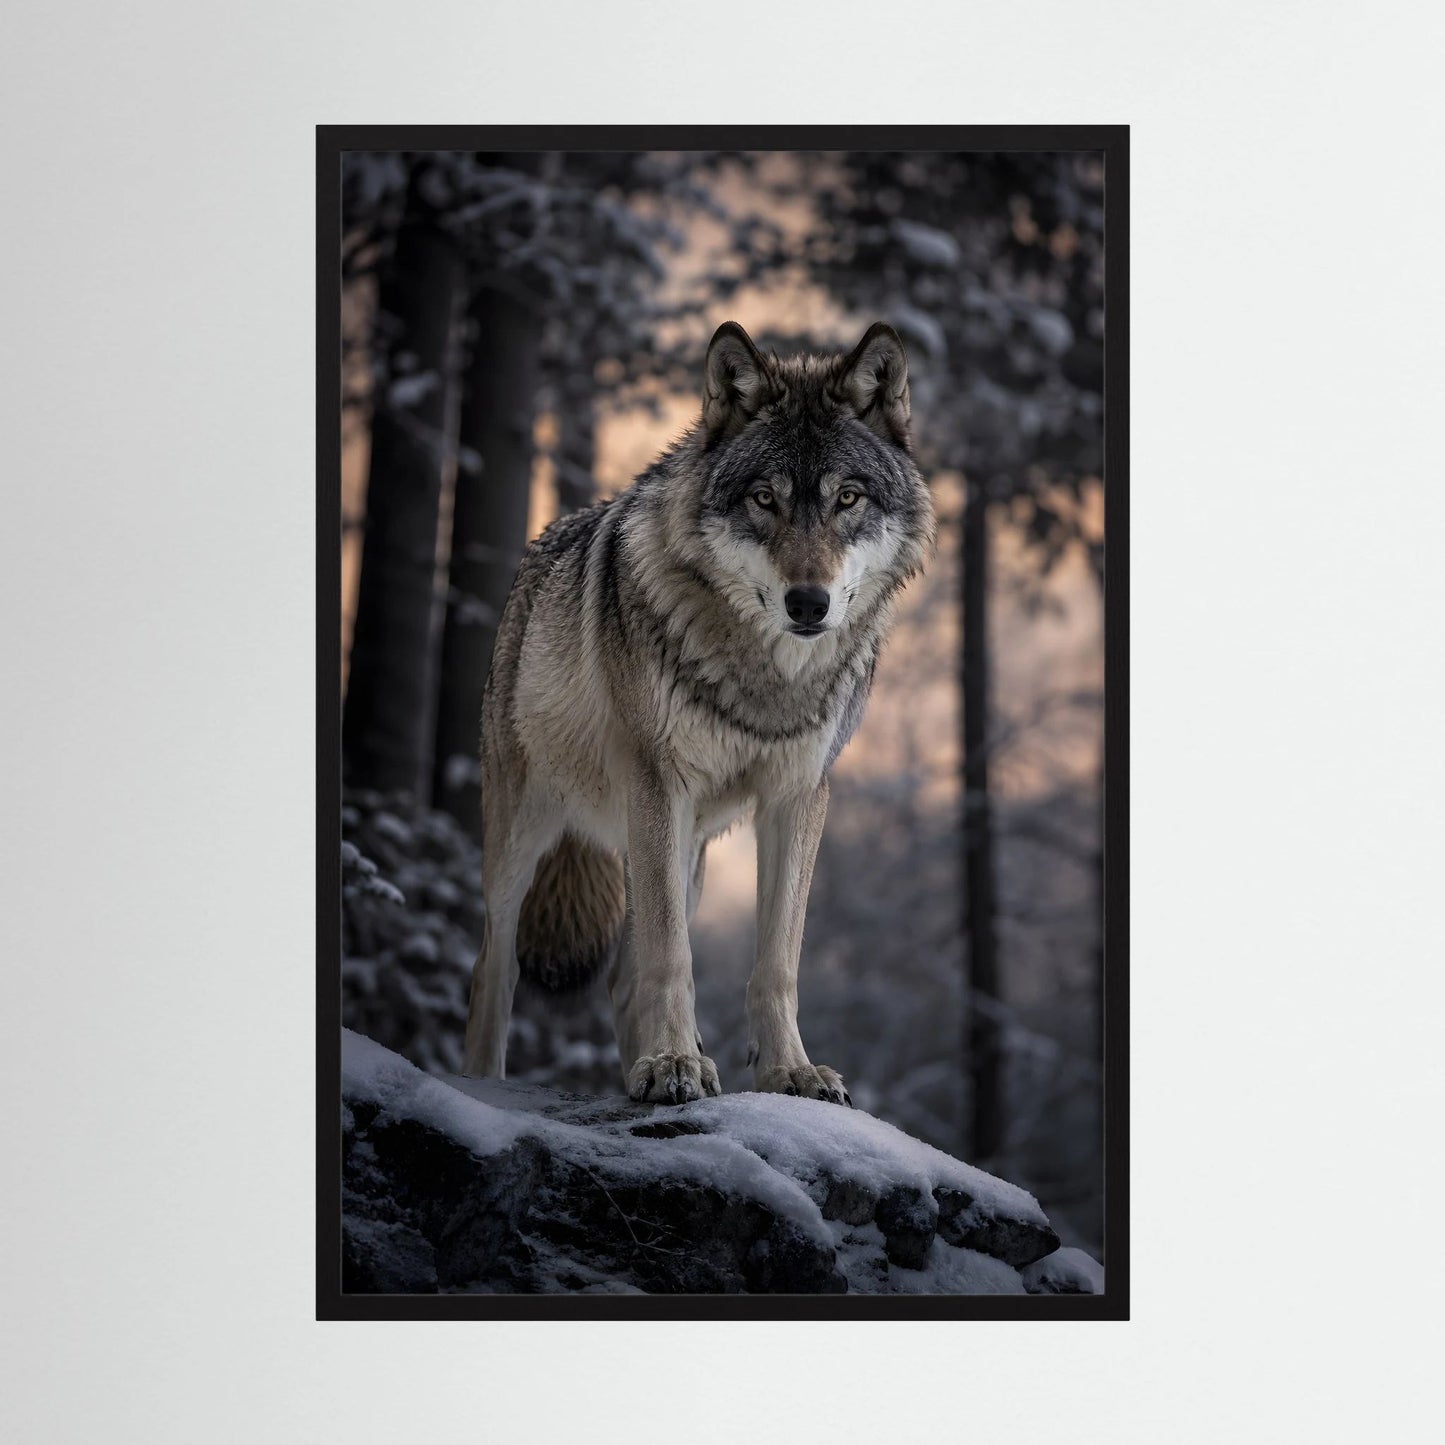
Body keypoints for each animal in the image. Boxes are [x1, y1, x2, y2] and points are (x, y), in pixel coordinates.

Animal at [462, 321, 934, 1105]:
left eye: (848, 498)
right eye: (765, 499)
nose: (809, 603)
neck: (764, 675)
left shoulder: (797, 796)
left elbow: (776, 963)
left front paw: (788, 1072)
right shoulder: (660, 784)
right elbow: (672, 956)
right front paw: (672, 1063)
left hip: (688, 854)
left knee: (622, 978)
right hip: (529, 836)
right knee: (493, 967)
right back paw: (487, 1084)